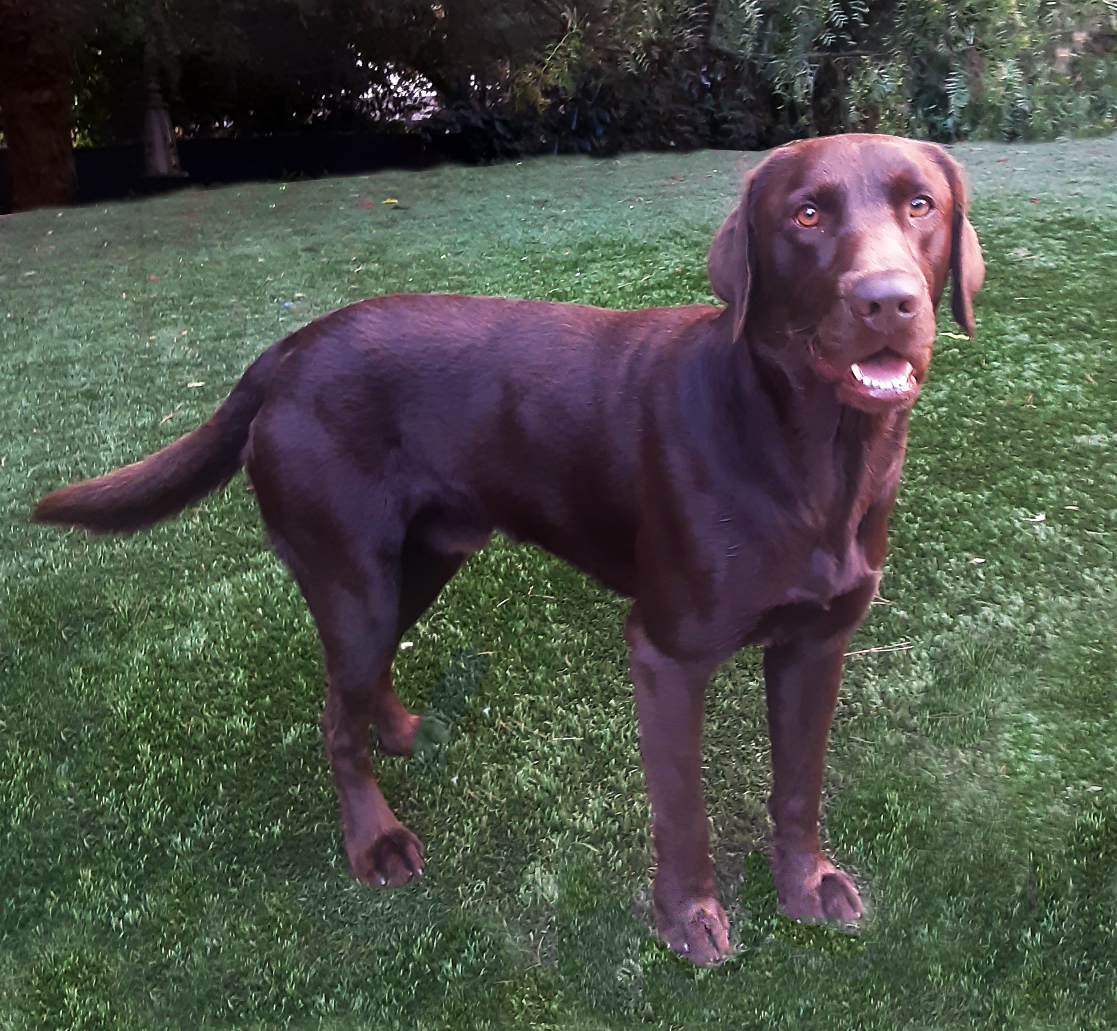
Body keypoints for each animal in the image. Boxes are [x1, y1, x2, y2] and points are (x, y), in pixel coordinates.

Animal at [30, 135, 982, 969]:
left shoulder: (816, 642)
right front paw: (686, 920)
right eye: (807, 214)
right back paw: (375, 841)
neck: (812, 455)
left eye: (920, 205)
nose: (888, 300)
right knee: (334, 715)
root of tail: (287, 349)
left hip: (424, 556)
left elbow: (798, 784)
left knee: (359, 680)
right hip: (352, 575)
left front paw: (805, 885)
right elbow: (683, 810)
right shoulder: (668, 653)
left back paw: (400, 729)